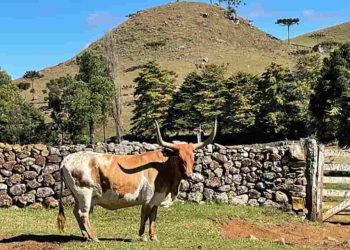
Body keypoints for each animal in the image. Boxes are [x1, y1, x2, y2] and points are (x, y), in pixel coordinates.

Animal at [57, 120, 216, 241]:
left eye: (192, 157)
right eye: (179, 157)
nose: (189, 175)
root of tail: (67, 159)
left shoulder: (156, 199)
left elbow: (153, 218)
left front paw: (153, 237)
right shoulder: (148, 199)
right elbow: (144, 217)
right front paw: (142, 236)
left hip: (78, 196)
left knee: (77, 213)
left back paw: (86, 236)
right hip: (85, 194)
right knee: (83, 214)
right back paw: (94, 237)